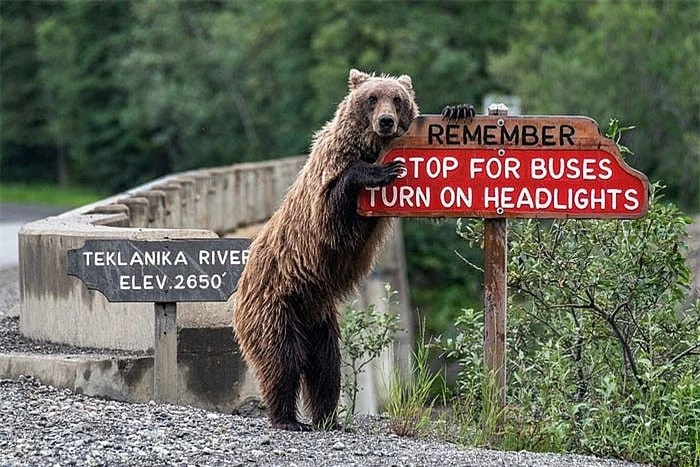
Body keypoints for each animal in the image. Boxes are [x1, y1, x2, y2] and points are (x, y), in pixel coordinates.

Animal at [232, 68, 418, 432]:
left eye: (398, 98)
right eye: (372, 98)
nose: (386, 121)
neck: (366, 146)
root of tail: (240, 287)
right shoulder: (325, 182)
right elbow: (332, 213)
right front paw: (379, 171)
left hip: (319, 319)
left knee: (326, 367)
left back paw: (329, 419)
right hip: (275, 305)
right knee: (282, 360)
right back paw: (287, 418)